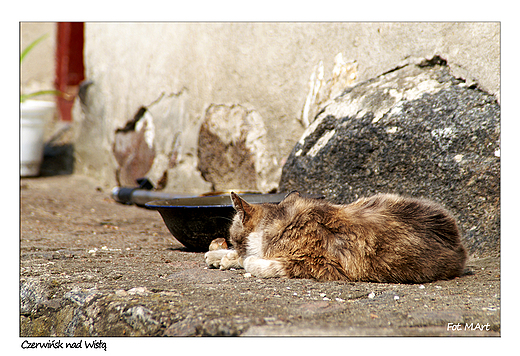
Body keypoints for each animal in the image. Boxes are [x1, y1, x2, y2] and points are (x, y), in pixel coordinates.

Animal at [205, 192, 470, 284]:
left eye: (233, 236)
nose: (233, 244)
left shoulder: (311, 263)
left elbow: (253, 261)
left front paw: (233, 258)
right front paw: (220, 255)